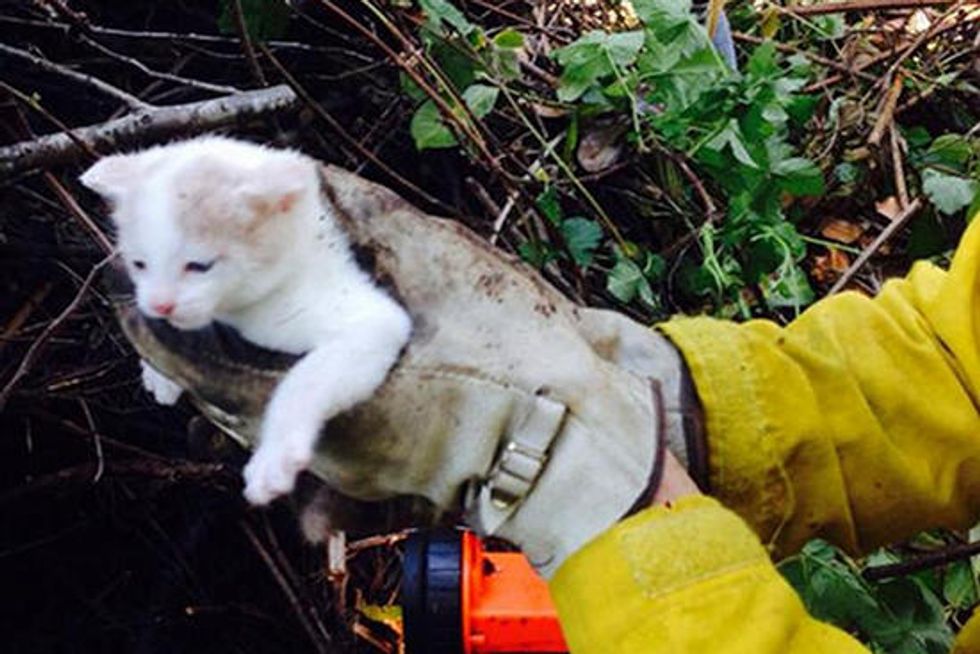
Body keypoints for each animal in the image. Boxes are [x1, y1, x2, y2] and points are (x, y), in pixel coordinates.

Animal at [78, 137, 412, 508]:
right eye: (139, 264)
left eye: (199, 266)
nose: (160, 305)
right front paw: (158, 372)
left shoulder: (373, 322)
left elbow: (305, 382)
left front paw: (275, 457)